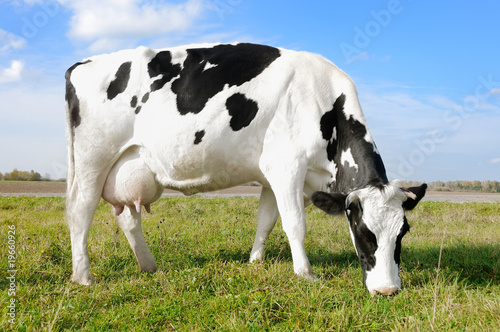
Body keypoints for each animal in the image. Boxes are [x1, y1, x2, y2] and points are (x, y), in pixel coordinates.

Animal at [65, 42, 426, 294]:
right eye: (364, 232)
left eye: (402, 233)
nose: (388, 290)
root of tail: (82, 64)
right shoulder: (287, 167)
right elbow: (295, 224)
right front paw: (305, 274)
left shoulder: (270, 176)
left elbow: (266, 221)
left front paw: (255, 262)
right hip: (93, 159)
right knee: (80, 210)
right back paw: (83, 277)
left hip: (129, 166)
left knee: (128, 217)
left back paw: (149, 266)